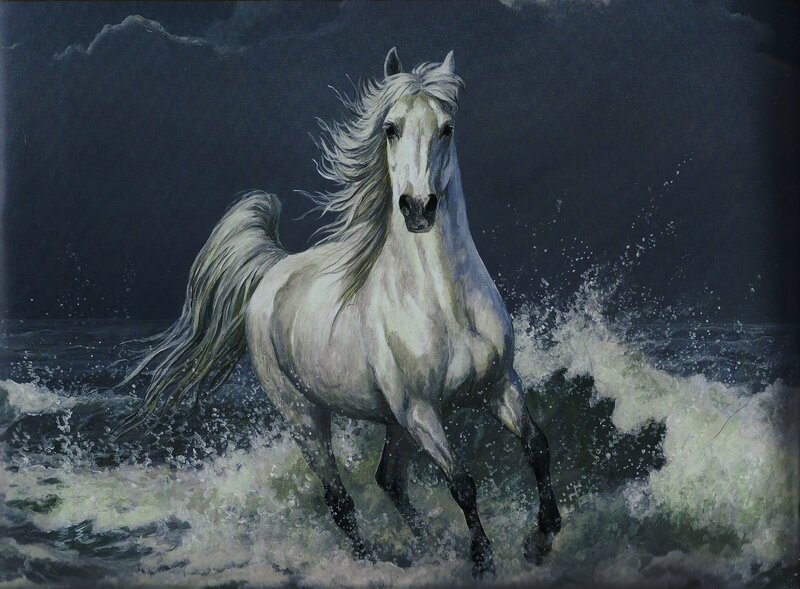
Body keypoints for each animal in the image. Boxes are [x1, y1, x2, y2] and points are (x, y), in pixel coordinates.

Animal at [119, 48, 561, 578]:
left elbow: (537, 447)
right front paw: (482, 562)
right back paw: (372, 561)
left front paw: (541, 538)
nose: (418, 207)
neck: (447, 305)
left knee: (389, 479)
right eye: (390, 128)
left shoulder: (498, 387)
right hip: (307, 417)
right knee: (338, 497)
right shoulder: (422, 411)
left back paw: (431, 544)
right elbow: (463, 483)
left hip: (393, 423)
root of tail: (272, 270)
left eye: (447, 128)